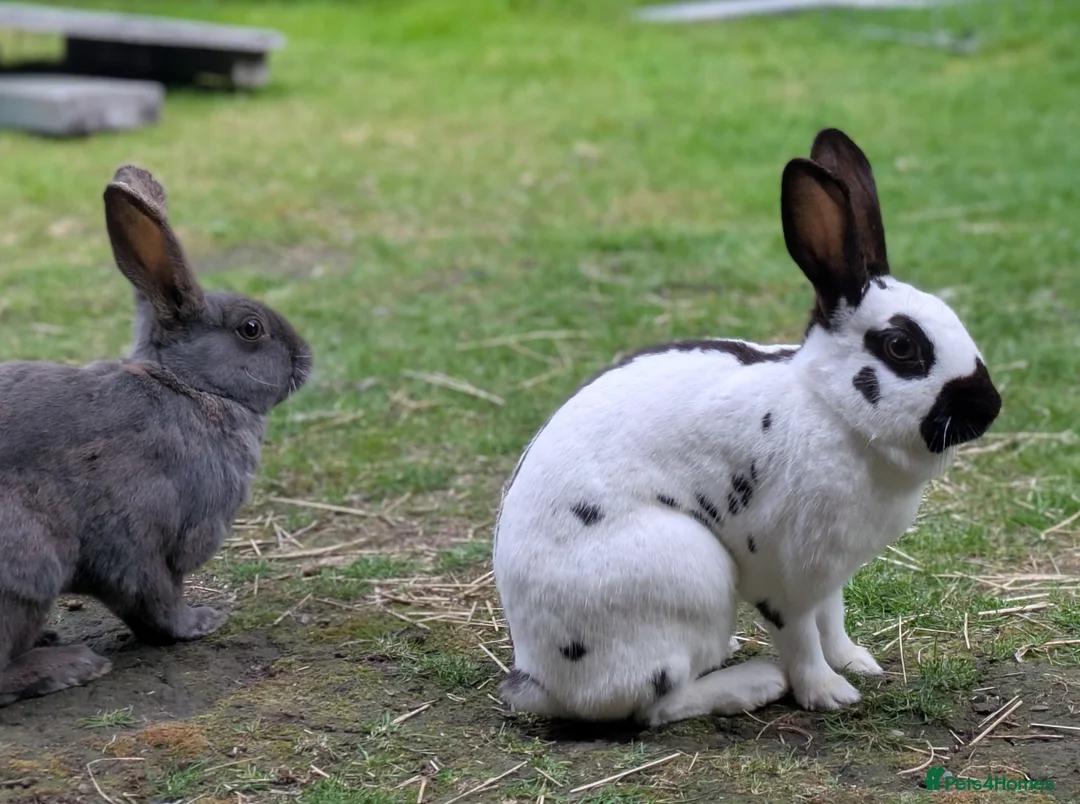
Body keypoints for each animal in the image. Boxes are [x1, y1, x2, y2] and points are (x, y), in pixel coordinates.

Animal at [0, 165, 311, 707]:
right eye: (251, 329)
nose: (305, 358)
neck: (191, 386)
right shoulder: (141, 542)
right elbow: (156, 598)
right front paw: (201, 623)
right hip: (27, 567)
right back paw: (69, 666)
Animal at [491, 128, 1002, 727]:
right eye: (902, 347)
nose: (989, 407)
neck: (830, 410)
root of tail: (537, 677)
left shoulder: (830, 574)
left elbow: (832, 619)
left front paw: (857, 663)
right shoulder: (786, 576)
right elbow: (801, 638)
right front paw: (829, 693)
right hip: (688, 574)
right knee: (656, 703)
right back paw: (756, 681)